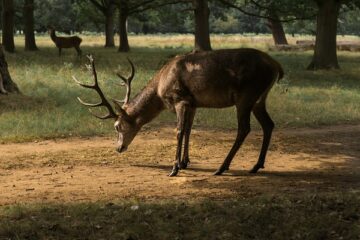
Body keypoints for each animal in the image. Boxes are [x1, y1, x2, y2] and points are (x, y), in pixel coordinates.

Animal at [74, 50, 284, 176]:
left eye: (117, 126)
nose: (118, 148)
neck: (160, 89)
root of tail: (276, 66)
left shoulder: (180, 99)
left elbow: (179, 131)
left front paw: (174, 167)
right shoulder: (193, 103)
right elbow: (189, 130)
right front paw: (185, 162)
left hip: (246, 95)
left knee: (244, 128)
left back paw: (222, 167)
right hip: (259, 99)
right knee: (269, 124)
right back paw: (256, 165)